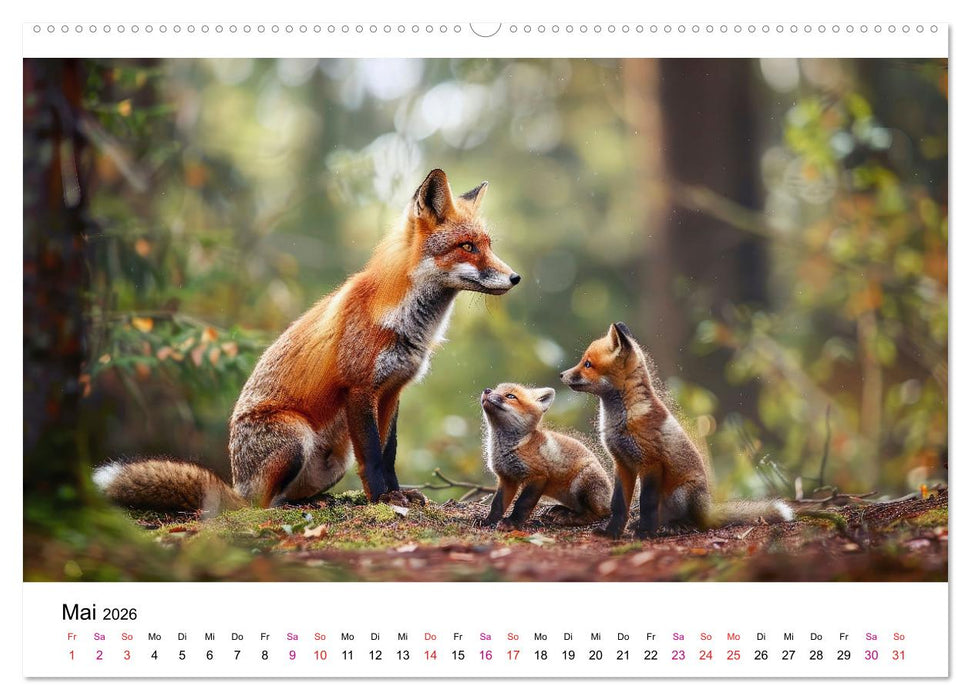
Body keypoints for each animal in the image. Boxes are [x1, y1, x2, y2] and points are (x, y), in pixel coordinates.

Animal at [94, 169, 520, 513]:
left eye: (489, 245)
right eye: (467, 247)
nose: (515, 277)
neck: (407, 322)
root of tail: (237, 486)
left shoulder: (392, 391)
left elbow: (389, 452)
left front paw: (397, 493)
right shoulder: (359, 389)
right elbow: (373, 457)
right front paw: (382, 498)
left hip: (335, 457)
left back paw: (318, 500)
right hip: (295, 436)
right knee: (261, 505)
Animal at [480, 382, 612, 531]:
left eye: (510, 396)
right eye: (496, 389)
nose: (487, 390)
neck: (514, 447)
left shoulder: (538, 476)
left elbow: (522, 504)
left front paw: (512, 523)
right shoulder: (507, 478)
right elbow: (497, 504)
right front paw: (489, 521)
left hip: (583, 480)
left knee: (596, 514)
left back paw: (570, 518)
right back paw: (560, 510)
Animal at [560, 322, 793, 539]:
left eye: (587, 364)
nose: (561, 374)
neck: (621, 420)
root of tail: (707, 510)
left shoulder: (651, 463)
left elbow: (646, 503)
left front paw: (645, 533)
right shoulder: (622, 463)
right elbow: (618, 505)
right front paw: (612, 532)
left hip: (680, 493)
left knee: (692, 522)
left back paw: (674, 526)